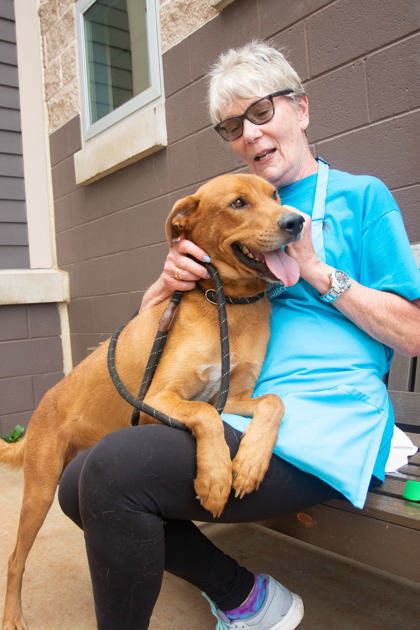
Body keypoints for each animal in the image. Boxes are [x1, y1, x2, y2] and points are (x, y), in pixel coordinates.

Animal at [1, 172, 303, 629]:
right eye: (238, 203)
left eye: (276, 195)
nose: (297, 222)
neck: (225, 302)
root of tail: (44, 401)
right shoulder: (157, 398)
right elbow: (204, 414)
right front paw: (215, 478)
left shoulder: (236, 396)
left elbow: (273, 401)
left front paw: (249, 464)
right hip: (39, 489)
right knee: (16, 557)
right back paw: (13, 614)